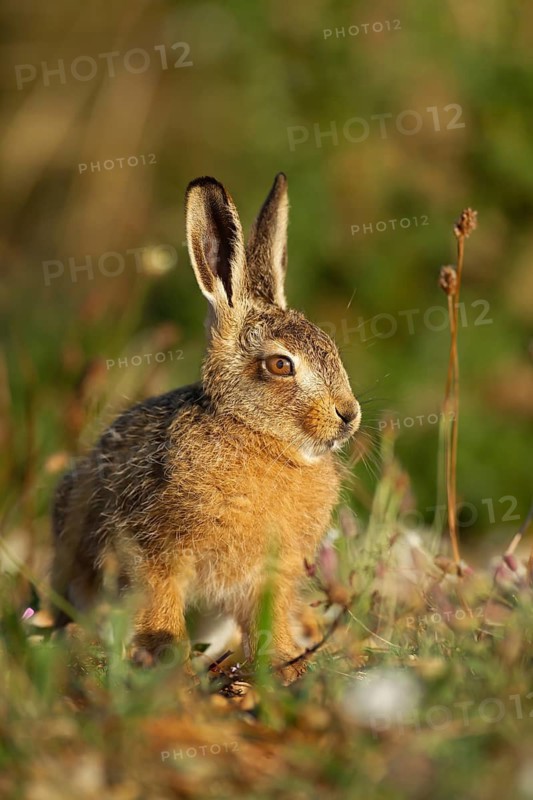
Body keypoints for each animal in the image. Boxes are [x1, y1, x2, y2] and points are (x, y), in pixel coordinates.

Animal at [50, 174, 361, 682]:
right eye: (281, 365)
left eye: (330, 348)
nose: (348, 414)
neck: (255, 436)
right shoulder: (153, 553)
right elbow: (160, 606)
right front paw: (165, 660)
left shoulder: (271, 577)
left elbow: (269, 621)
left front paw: (283, 664)